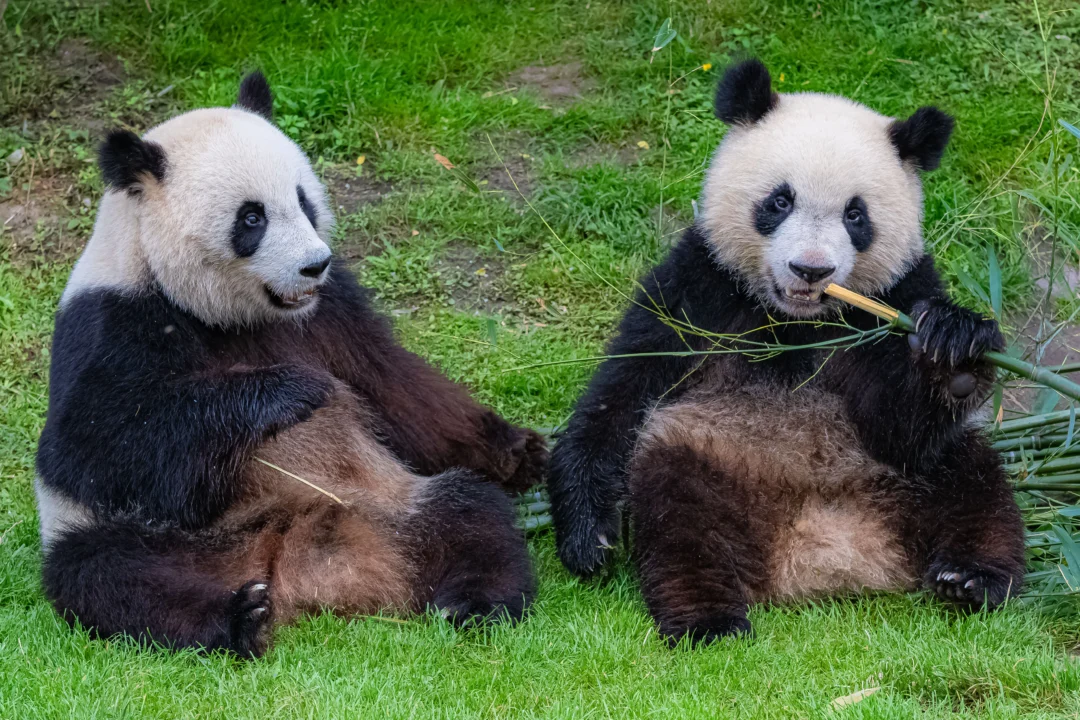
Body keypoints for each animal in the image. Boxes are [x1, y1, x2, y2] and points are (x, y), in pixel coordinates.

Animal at [35, 72, 547, 657]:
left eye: (303, 200)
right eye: (251, 217)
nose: (313, 264)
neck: (227, 312)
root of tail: (300, 571)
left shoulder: (331, 309)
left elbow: (394, 384)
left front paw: (517, 452)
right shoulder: (111, 322)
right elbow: (91, 446)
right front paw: (290, 392)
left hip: (394, 501)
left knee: (471, 516)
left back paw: (476, 603)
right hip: (153, 539)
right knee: (108, 575)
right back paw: (239, 618)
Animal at [547, 59, 1025, 646]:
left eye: (855, 216)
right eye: (780, 200)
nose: (811, 269)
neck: (796, 320)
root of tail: (828, 555)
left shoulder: (896, 298)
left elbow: (902, 427)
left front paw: (954, 351)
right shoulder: (697, 291)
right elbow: (622, 393)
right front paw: (589, 535)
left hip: (911, 479)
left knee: (972, 481)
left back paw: (971, 578)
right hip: (708, 451)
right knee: (675, 513)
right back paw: (710, 620)